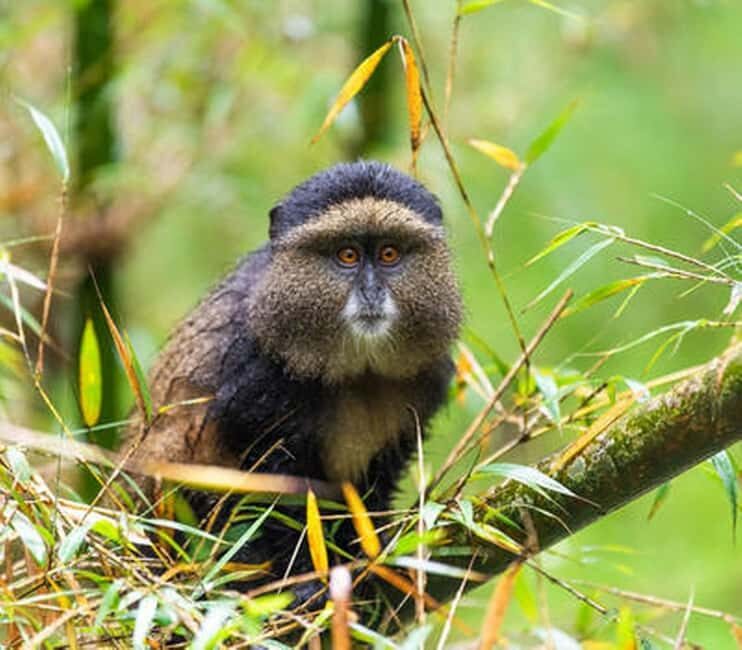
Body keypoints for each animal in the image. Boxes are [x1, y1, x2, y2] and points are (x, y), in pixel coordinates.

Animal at [123, 160, 462, 602]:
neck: (357, 369)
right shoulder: (256, 375)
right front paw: (301, 580)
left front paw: (370, 553)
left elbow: (376, 478)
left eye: (389, 253)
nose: (371, 292)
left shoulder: (425, 380)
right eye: (347, 255)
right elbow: (275, 490)